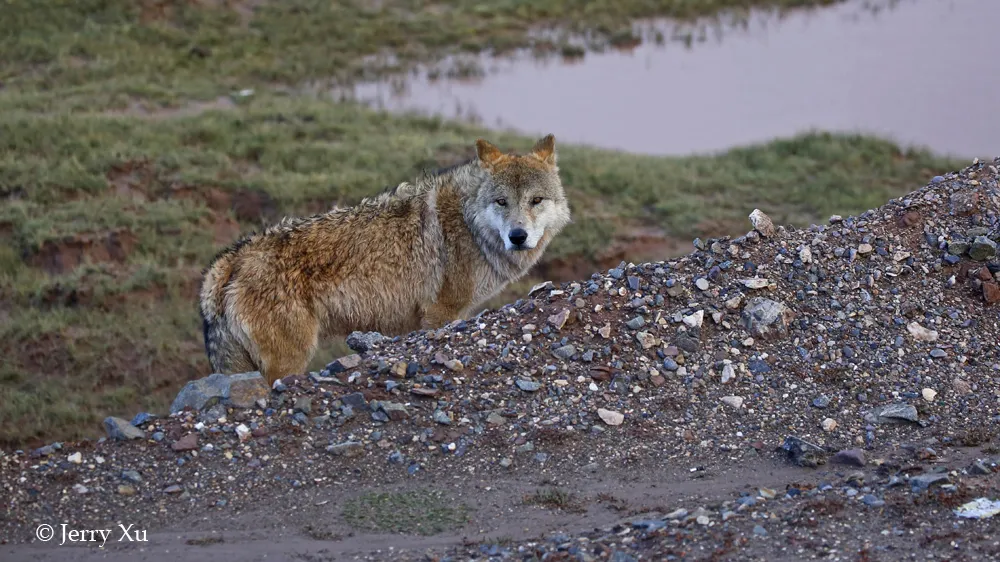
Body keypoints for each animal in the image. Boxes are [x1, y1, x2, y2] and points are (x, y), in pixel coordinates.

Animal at [199, 133, 572, 382]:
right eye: (501, 202)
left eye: (536, 200)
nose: (518, 236)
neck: (469, 225)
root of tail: (229, 259)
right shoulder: (440, 314)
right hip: (289, 362)